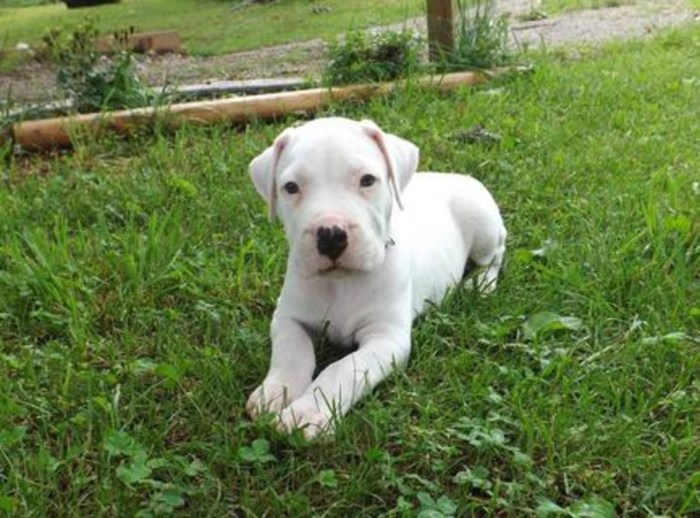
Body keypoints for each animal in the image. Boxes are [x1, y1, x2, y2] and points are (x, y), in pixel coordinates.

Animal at [245, 117, 504, 438]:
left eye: (367, 180)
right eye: (290, 187)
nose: (331, 235)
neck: (341, 283)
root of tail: (456, 176)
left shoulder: (386, 339)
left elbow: (343, 368)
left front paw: (307, 412)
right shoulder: (288, 318)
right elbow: (292, 352)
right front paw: (275, 392)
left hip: (484, 226)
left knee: (497, 255)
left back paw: (481, 284)